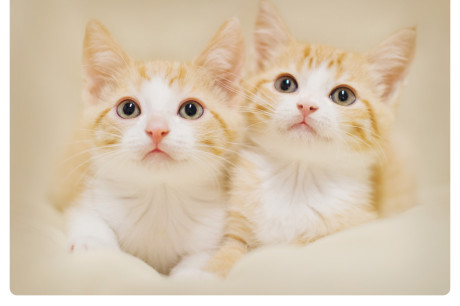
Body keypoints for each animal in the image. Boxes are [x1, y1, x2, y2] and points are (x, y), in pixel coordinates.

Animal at [55, 19, 246, 276]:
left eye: (191, 109)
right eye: (128, 108)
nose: (157, 130)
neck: (159, 196)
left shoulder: (216, 232)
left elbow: (204, 260)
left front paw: (190, 276)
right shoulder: (84, 194)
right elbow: (84, 216)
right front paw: (92, 243)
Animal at [205, 0, 416, 278]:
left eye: (343, 96)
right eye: (285, 84)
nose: (307, 105)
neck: (298, 178)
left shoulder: (353, 225)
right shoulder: (237, 226)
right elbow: (228, 253)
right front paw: (208, 272)